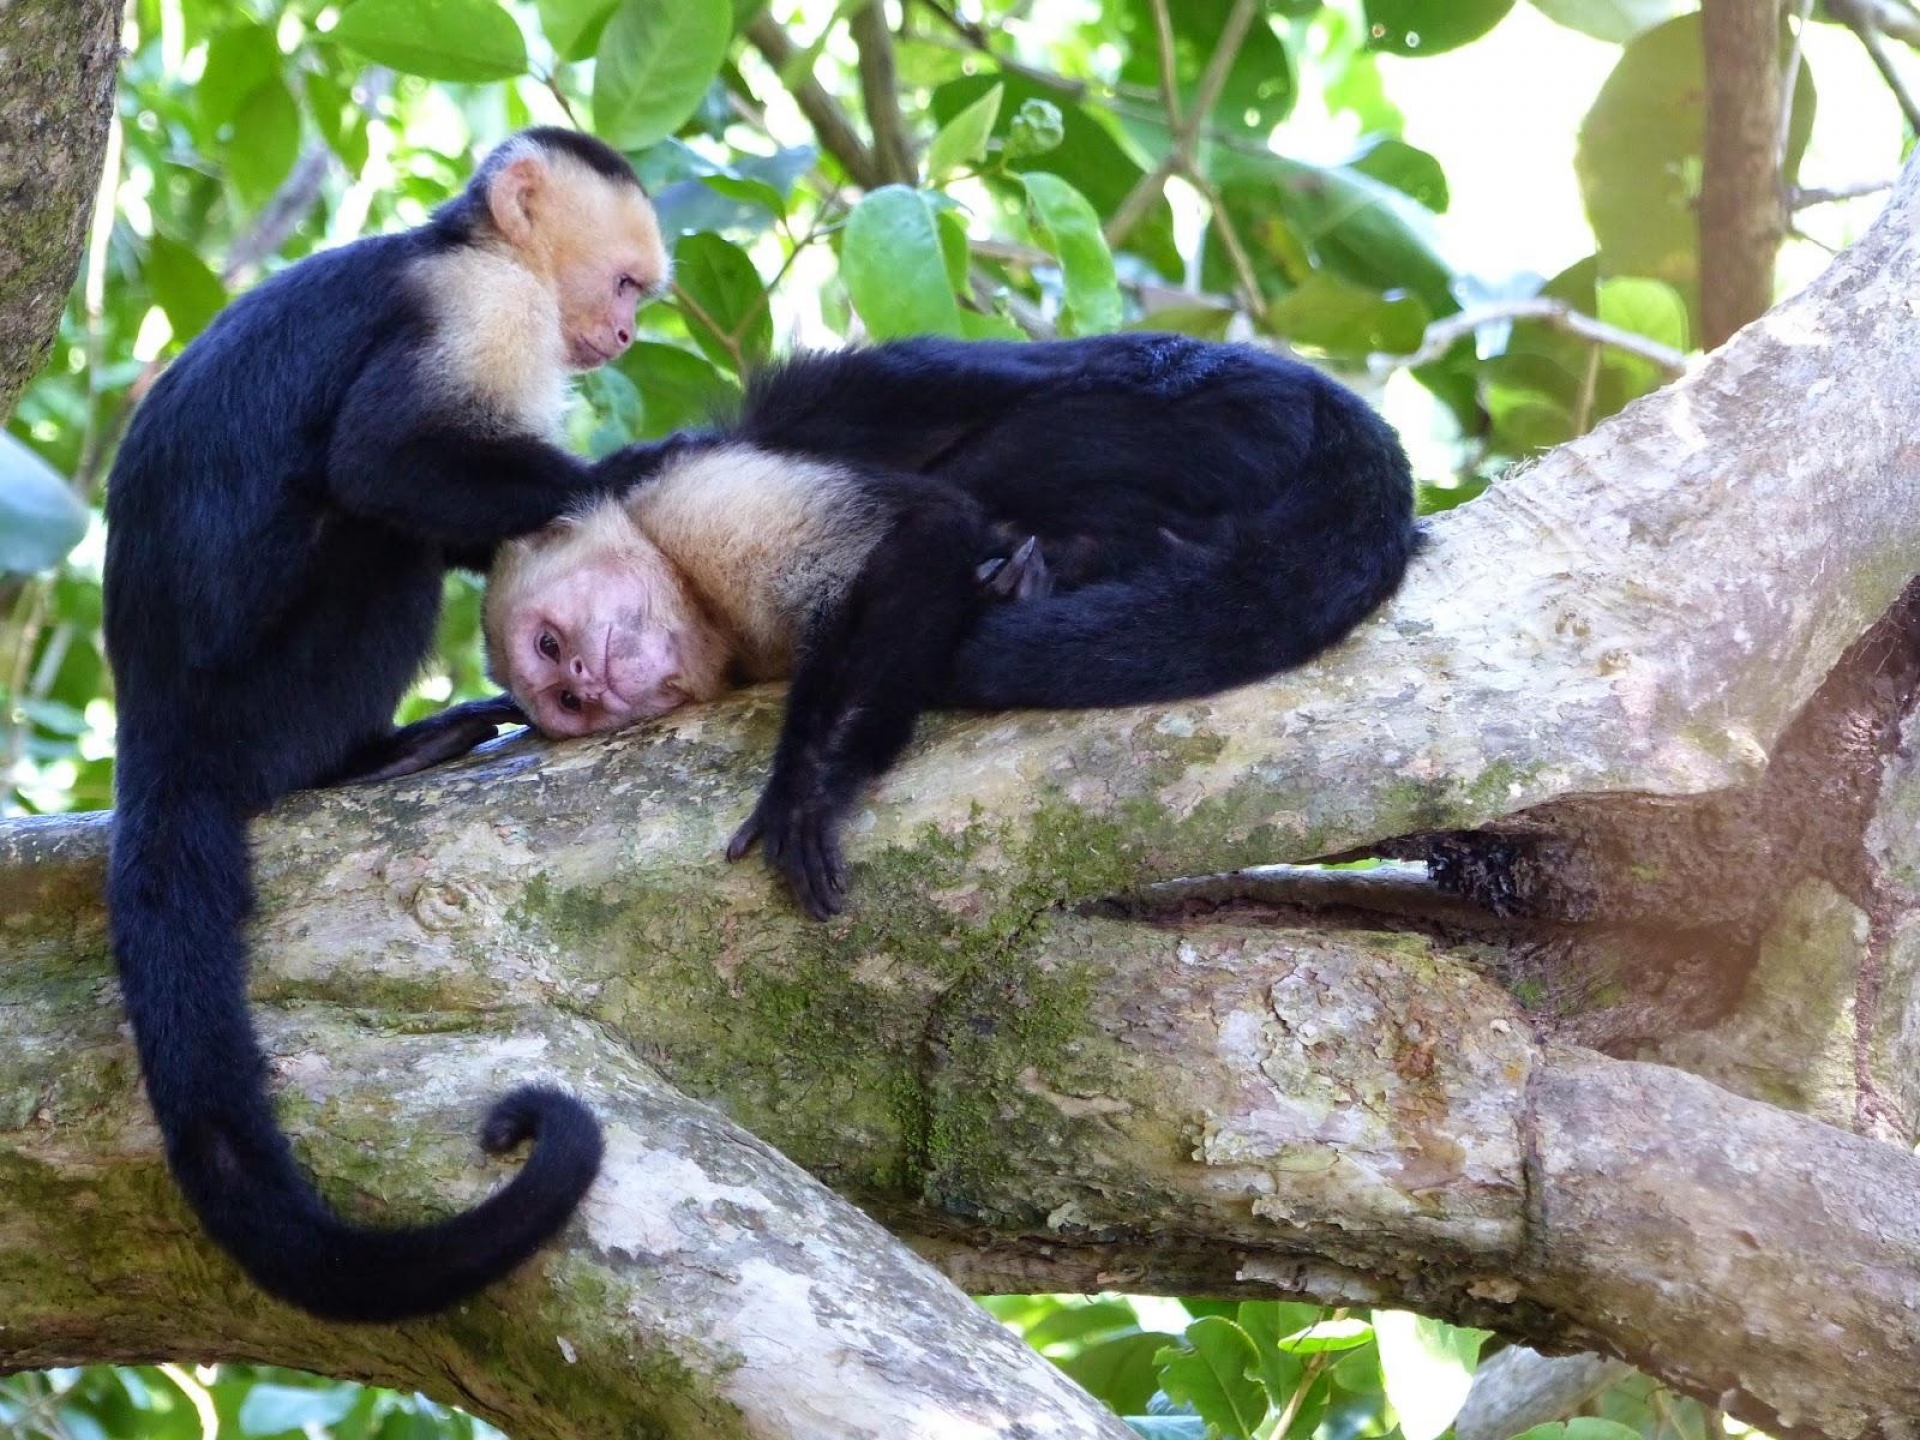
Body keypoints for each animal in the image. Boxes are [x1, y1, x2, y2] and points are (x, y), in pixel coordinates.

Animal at [101, 127, 670, 1321]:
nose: (629, 334)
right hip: (263, 706)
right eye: (626, 284)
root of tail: (157, 737)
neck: (468, 244)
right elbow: (389, 462)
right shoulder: (481, 307)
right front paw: (631, 468)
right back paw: (373, 755)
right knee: (375, 536)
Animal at [484, 334, 1419, 919]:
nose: (585, 681)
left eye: (550, 645)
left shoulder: (692, 507)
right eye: (562, 701)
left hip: (1208, 409)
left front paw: (811, 784)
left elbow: (930, 525)